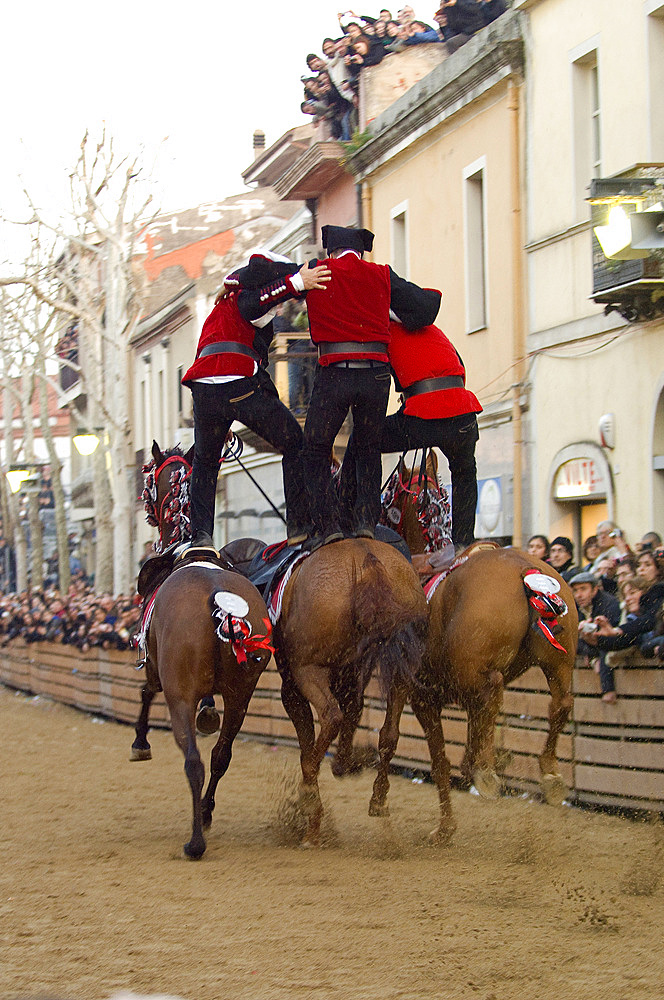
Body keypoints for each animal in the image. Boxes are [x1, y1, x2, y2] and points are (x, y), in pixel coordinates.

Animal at [130, 446, 274, 860]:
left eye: (149, 480)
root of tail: (218, 600)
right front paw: (209, 713)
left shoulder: (157, 670)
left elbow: (145, 692)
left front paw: (140, 743)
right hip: (242, 694)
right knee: (221, 756)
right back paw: (207, 813)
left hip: (179, 694)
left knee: (193, 761)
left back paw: (195, 841)